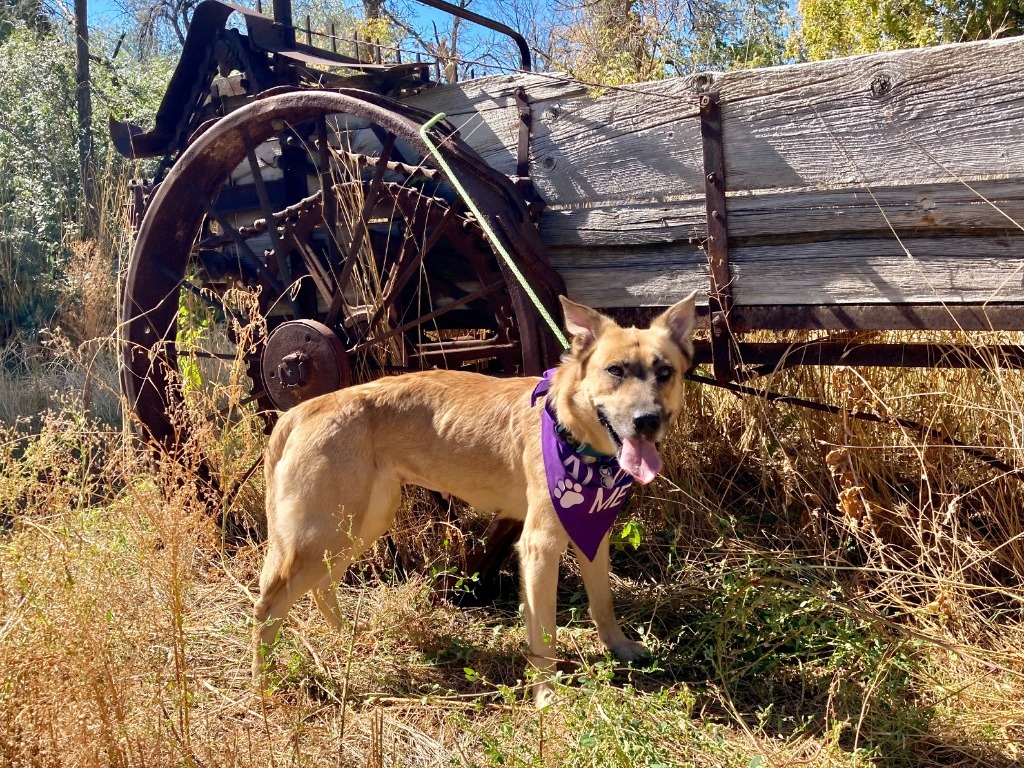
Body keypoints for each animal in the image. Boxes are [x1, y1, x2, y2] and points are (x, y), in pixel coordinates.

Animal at [252, 292, 700, 704]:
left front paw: (618, 647)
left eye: (664, 372)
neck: (571, 431)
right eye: (614, 371)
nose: (647, 421)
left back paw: (349, 637)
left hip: (360, 524)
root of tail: (304, 408)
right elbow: (544, 633)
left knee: (322, 586)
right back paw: (265, 683)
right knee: (269, 605)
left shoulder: (594, 532)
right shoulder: (539, 545)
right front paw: (545, 694)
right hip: (323, 533)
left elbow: (602, 602)